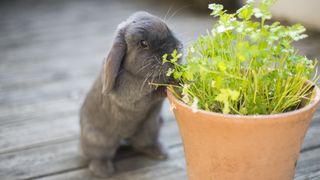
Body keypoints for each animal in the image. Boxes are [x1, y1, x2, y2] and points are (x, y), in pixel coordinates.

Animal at [79, 11, 182, 177]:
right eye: (143, 44)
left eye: (168, 29)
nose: (175, 50)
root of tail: (125, 136)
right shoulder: (131, 97)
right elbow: (151, 94)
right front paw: (173, 82)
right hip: (100, 141)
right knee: (96, 156)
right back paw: (103, 170)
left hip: (149, 129)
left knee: (141, 145)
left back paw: (160, 153)